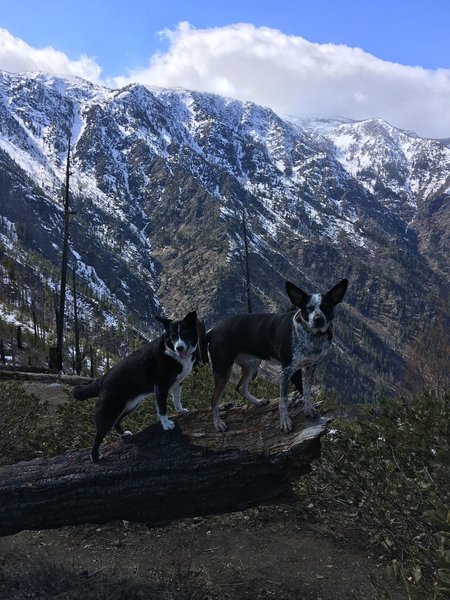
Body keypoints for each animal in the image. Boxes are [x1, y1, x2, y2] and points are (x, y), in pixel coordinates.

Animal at [73, 312, 198, 462]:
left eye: (185, 333)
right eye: (173, 336)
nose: (179, 347)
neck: (170, 351)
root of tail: (103, 379)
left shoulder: (178, 383)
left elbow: (177, 399)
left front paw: (180, 410)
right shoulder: (161, 386)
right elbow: (162, 408)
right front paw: (166, 424)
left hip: (129, 405)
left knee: (117, 421)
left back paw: (123, 434)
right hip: (109, 410)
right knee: (98, 437)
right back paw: (95, 457)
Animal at [204, 278, 348, 434]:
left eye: (325, 306)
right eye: (308, 308)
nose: (318, 319)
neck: (311, 335)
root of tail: (213, 331)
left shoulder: (311, 366)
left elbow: (307, 391)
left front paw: (309, 409)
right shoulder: (287, 370)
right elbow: (283, 400)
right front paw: (285, 422)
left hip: (252, 363)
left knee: (240, 387)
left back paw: (257, 402)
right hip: (223, 369)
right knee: (214, 400)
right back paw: (218, 423)